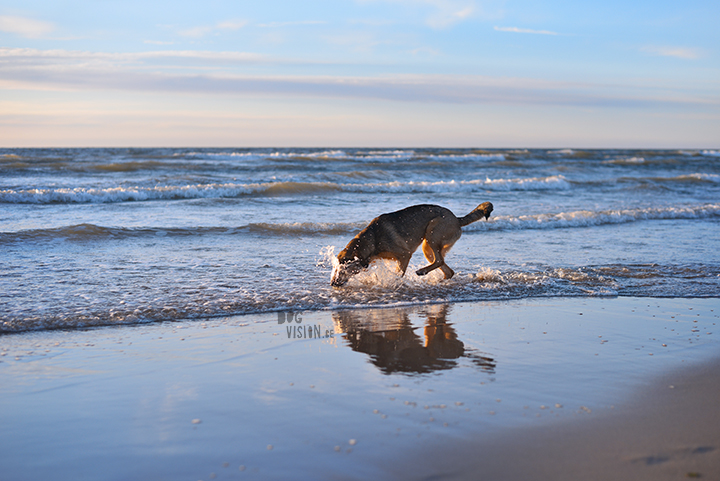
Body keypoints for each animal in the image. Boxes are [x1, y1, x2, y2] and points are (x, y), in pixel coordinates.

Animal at [330, 202, 490, 286]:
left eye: (344, 269)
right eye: (336, 268)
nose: (332, 283)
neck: (372, 240)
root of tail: (457, 219)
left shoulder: (404, 255)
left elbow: (398, 273)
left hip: (432, 233)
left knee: (439, 260)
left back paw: (422, 271)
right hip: (427, 248)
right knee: (447, 270)